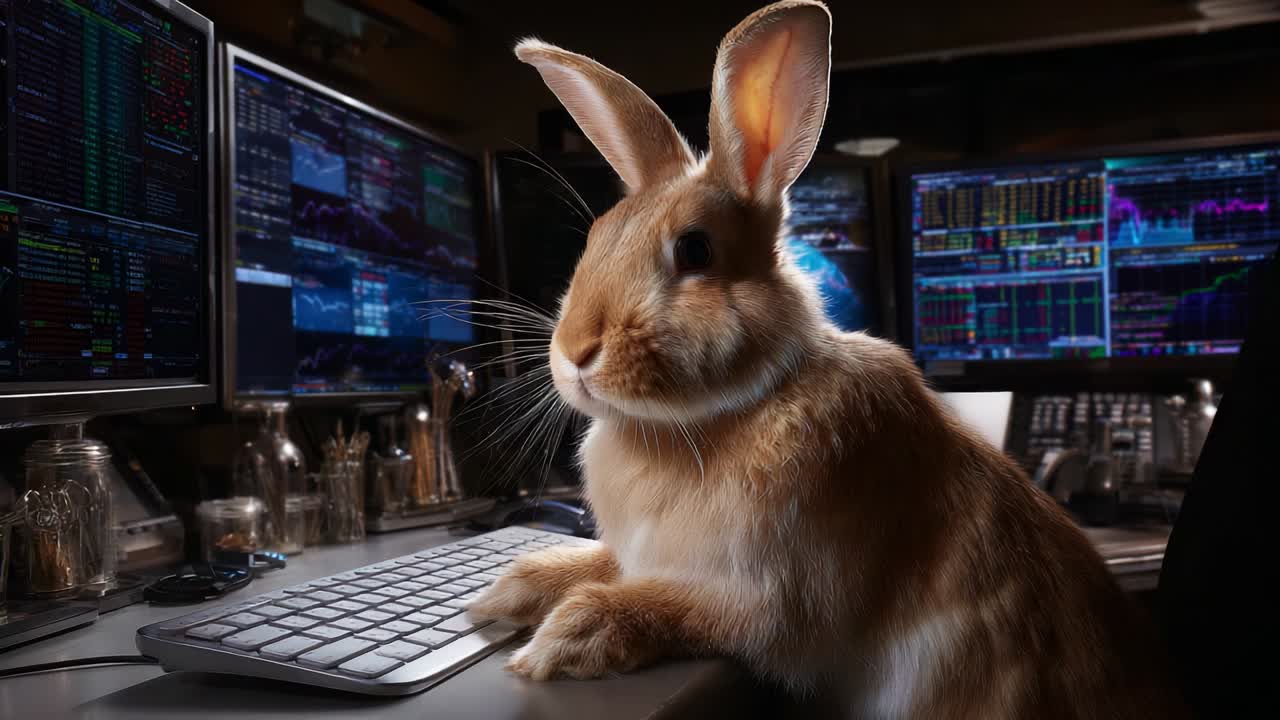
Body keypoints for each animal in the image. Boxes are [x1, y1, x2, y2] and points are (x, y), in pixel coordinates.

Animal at [468, 1, 1186, 717]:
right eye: (594, 238)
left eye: (695, 249)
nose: (574, 352)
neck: (727, 411)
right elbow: (591, 563)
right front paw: (501, 593)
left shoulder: (767, 602)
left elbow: (661, 607)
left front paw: (559, 640)